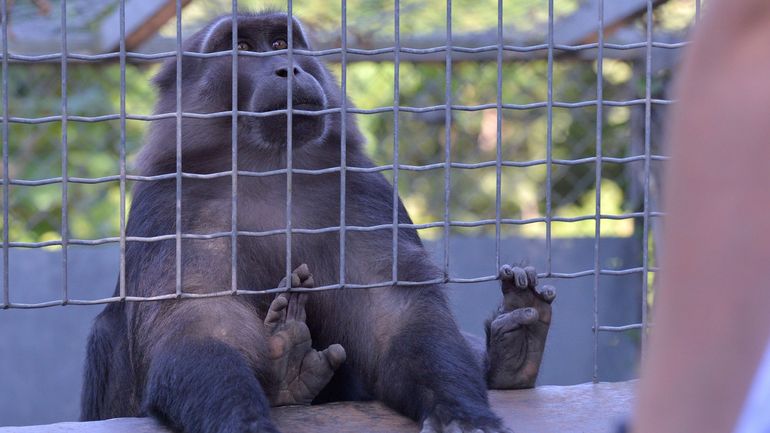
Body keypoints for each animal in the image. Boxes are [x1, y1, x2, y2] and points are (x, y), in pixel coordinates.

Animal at [82, 11, 552, 432]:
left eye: (279, 41)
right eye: (242, 46)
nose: (288, 67)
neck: (268, 168)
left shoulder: (359, 191)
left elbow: (396, 319)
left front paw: (461, 413)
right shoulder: (173, 203)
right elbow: (198, 323)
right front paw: (246, 422)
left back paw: (513, 357)